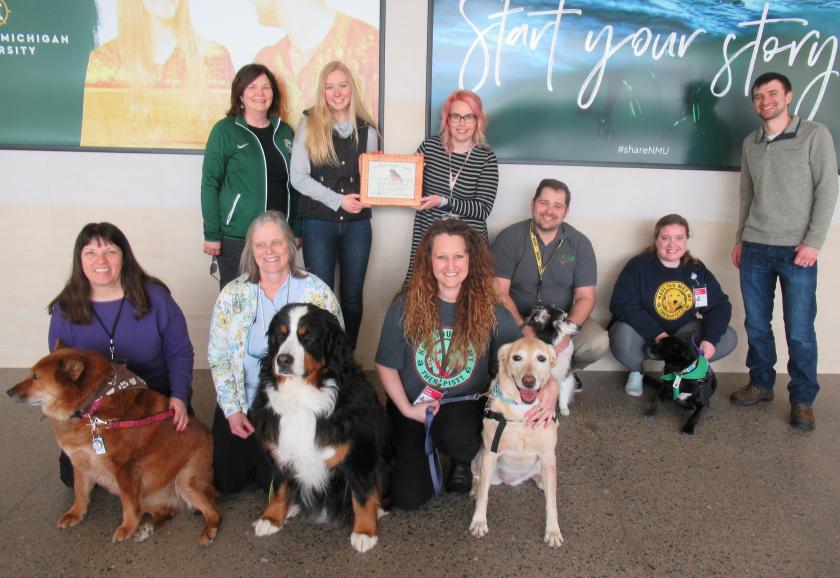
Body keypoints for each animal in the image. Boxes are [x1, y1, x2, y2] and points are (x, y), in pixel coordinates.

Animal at [6, 344, 221, 544]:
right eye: (31, 374)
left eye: (36, 377)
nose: (8, 392)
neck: (91, 408)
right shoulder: (80, 462)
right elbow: (80, 491)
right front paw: (75, 513)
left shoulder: (124, 469)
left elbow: (129, 505)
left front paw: (127, 527)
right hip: (146, 493)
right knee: (166, 513)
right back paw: (145, 529)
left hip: (184, 481)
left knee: (214, 513)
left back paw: (208, 531)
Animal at [248, 302, 388, 548]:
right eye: (280, 335)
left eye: (307, 337)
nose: (283, 360)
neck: (302, 396)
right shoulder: (281, 448)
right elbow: (279, 487)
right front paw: (271, 518)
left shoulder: (360, 451)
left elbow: (362, 494)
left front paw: (364, 532)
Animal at [470, 332, 560, 544]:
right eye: (517, 358)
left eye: (541, 358)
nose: (528, 381)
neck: (521, 411)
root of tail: (512, 481)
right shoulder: (490, 453)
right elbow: (484, 495)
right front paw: (479, 521)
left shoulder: (547, 455)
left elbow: (551, 502)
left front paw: (553, 530)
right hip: (481, 458)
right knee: (477, 478)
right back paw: (475, 489)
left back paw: (542, 481)